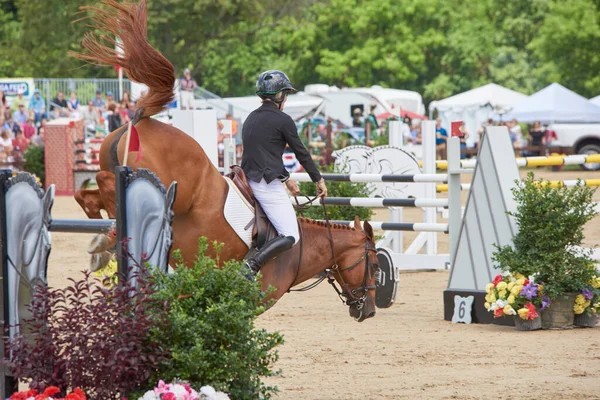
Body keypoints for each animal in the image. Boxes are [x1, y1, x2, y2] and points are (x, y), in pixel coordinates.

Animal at [71, 0, 380, 322]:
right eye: (374, 266)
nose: (369, 310)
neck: (299, 249)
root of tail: (142, 119)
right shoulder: (245, 304)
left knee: (87, 191)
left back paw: (102, 233)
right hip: (170, 187)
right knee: (106, 183)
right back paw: (105, 238)